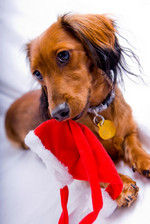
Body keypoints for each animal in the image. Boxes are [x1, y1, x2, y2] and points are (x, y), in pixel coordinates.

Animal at [4, 13, 150, 208]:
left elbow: (133, 144)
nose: (58, 114)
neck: (96, 112)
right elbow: (99, 172)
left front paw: (145, 161)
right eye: (37, 73)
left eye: (63, 55)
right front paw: (123, 187)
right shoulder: (77, 164)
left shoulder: (129, 130)